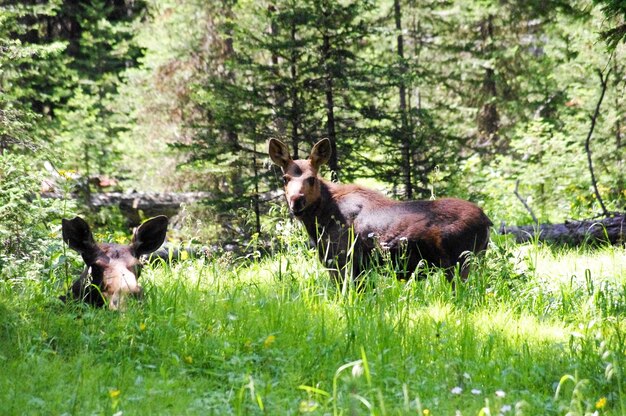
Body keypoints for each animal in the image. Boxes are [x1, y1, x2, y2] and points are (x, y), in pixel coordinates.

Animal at [268, 138, 492, 284]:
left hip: (459, 262)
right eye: (285, 178)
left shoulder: (343, 262)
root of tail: (487, 221)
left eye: (311, 178)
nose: (297, 201)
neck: (320, 221)